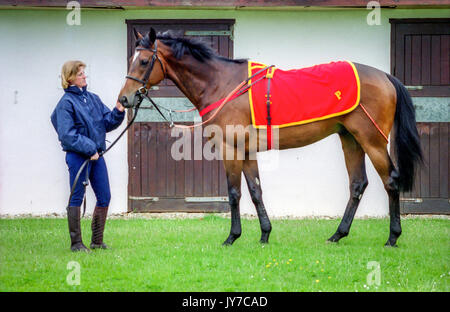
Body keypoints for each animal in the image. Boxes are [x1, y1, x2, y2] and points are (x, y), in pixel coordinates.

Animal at [118, 29, 422, 249]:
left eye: (143, 61)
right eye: (132, 59)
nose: (124, 99)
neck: (223, 84)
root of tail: (385, 76)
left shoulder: (230, 149)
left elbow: (234, 193)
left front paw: (232, 237)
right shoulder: (247, 151)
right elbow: (255, 191)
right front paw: (264, 234)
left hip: (372, 141)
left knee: (390, 181)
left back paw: (392, 237)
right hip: (350, 139)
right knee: (358, 184)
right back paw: (338, 234)